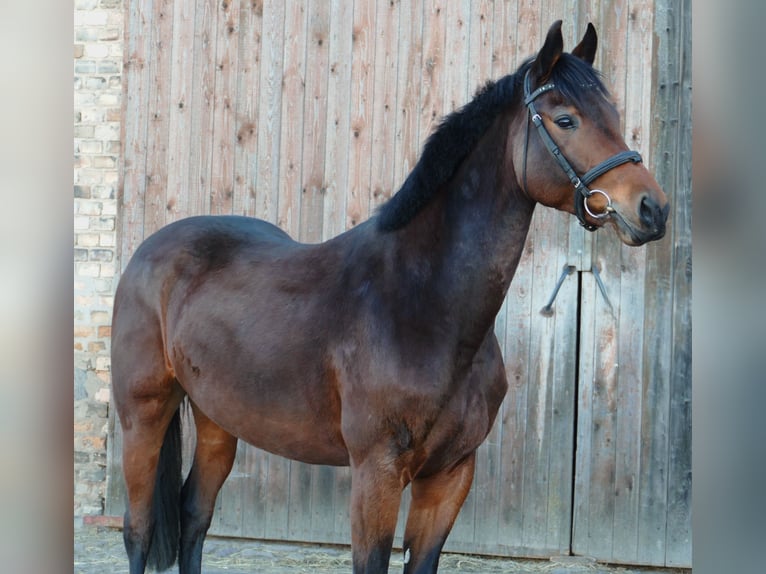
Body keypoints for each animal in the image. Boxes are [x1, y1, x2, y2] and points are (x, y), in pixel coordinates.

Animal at [111, 20, 669, 574]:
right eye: (565, 119)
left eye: (615, 117)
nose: (652, 209)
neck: (423, 306)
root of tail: (148, 253)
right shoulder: (376, 473)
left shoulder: (450, 474)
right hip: (143, 416)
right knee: (140, 528)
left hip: (218, 419)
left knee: (194, 517)